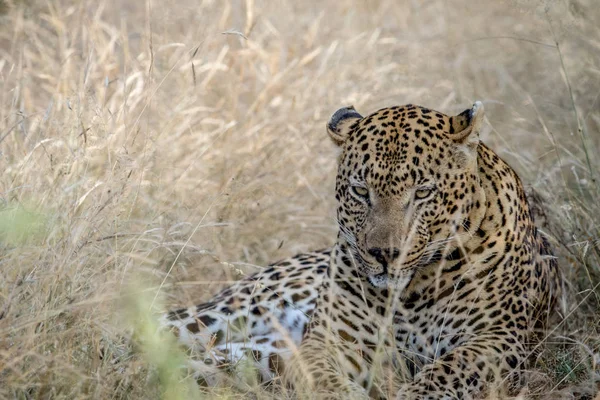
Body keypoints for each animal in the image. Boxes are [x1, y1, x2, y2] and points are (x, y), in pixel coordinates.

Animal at [161, 101, 564, 398]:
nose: (384, 255)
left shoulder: (498, 340)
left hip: (258, 355)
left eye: (422, 193)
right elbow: (324, 379)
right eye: (360, 191)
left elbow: (446, 373)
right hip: (232, 313)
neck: (412, 292)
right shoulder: (329, 342)